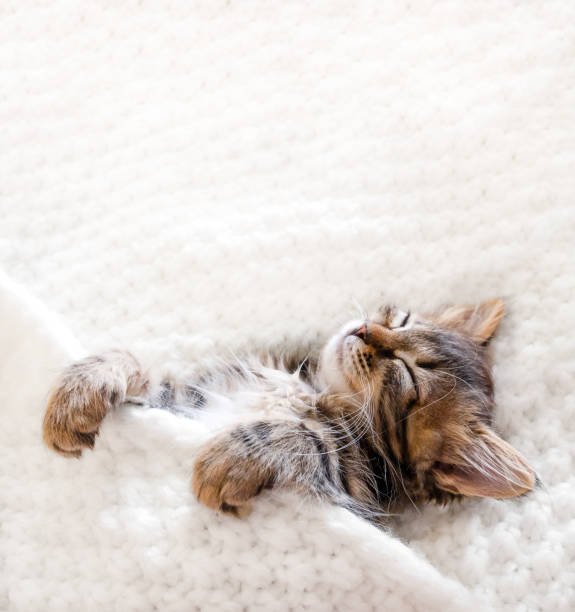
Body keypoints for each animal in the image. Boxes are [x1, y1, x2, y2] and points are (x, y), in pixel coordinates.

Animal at [41, 298, 536, 520]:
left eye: (408, 375)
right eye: (402, 320)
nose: (362, 329)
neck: (314, 390)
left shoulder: (350, 489)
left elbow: (300, 436)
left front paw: (234, 456)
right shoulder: (191, 400)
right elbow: (143, 371)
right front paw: (82, 388)